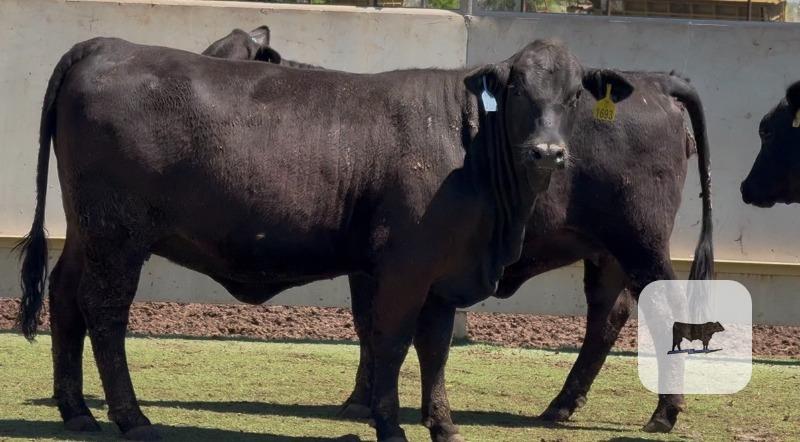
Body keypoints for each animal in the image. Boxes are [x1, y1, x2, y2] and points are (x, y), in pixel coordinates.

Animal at [17, 36, 634, 441]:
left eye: (575, 96)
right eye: (517, 90)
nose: (548, 152)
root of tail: (107, 45)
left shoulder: (443, 274)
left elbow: (434, 351)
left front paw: (443, 426)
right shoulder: (404, 266)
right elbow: (390, 342)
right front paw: (389, 425)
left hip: (87, 231)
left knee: (66, 296)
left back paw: (77, 412)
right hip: (118, 234)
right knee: (104, 310)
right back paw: (131, 418)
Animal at [203, 27, 713, 434]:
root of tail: (655, 82)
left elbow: (374, 325)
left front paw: (360, 402)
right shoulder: (370, 265)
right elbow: (369, 323)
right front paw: (362, 398)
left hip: (641, 242)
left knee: (664, 311)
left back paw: (664, 412)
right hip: (606, 252)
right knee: (608, 316)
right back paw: (561, 406)